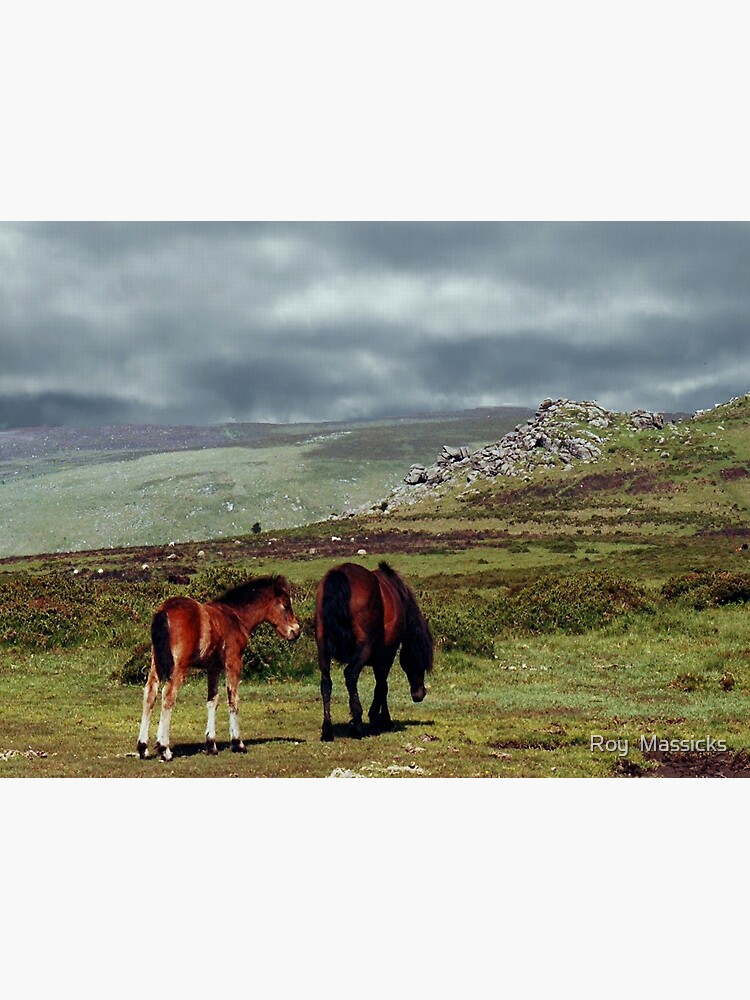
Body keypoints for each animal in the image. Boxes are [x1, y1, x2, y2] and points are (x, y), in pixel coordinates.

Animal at [137, 575, 300, 761]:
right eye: (286, 605)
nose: (296, 631)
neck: (236, 617)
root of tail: (163, 612)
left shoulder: (213, 668)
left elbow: (212, 701)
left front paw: (211, 745)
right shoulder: (233, 662)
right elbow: (233, 699)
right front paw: (238, 743)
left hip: (155, 663)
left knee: (150, 693)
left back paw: (143, 748)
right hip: (179, 666)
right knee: (168, 695)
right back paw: (165, 749)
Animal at [315, 561, 433, 741]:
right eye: (419, 661)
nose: (419, 694)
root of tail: (340, 575)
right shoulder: (387, 654)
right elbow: (382, 685)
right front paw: (382, 719)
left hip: (322, 649)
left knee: (326, 683)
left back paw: (327, 730)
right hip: (364, 648)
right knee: (350, 675)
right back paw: (357, 726)